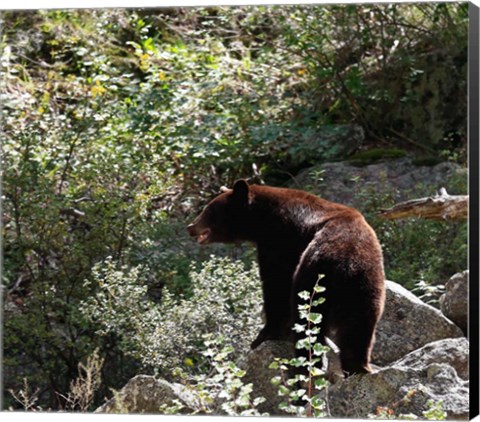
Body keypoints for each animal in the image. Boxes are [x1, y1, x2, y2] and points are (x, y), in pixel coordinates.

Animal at [188, 180, 386, 374]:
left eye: (208, 209)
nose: (190, 227)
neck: (263, 218)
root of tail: (347, 261)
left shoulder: (281, 241)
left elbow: (277, 284)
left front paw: (264, 335)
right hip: (367, 285)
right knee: (359, 326)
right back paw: (358, 367)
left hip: (315, 272)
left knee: (306, 315)